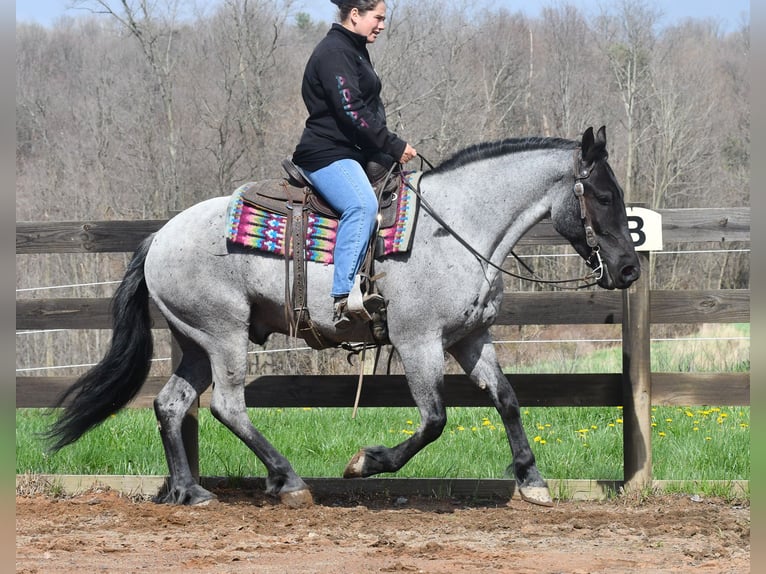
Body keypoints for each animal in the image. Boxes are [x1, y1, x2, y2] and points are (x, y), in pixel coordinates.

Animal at [47, 126, 640, 508]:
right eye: (602, 195)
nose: (630, 268)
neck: (457, 227)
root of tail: (158, 237)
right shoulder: (418, 341)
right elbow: (434, 420)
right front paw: (366, 462)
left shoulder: (471, 338)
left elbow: (508, 400)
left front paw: (532, 481)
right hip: (224, 335)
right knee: (227, 407)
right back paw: (287, 482)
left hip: (195, 340)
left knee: (172, 405)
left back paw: (192, 491)